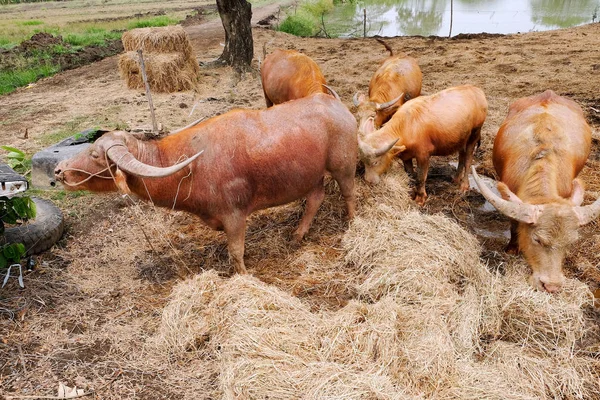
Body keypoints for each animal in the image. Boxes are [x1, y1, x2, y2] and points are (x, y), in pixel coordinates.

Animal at [55, 94, 356, 276]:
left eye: (96, 155)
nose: (59, 171)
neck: (189, 166)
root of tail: (337, 106)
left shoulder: (234, 215)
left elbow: (236, 252)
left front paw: (244, 276)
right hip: (312, 176)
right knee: (316, 198)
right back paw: (297, 234)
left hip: (343, 167)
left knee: (348, 193)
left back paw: (351, 222)